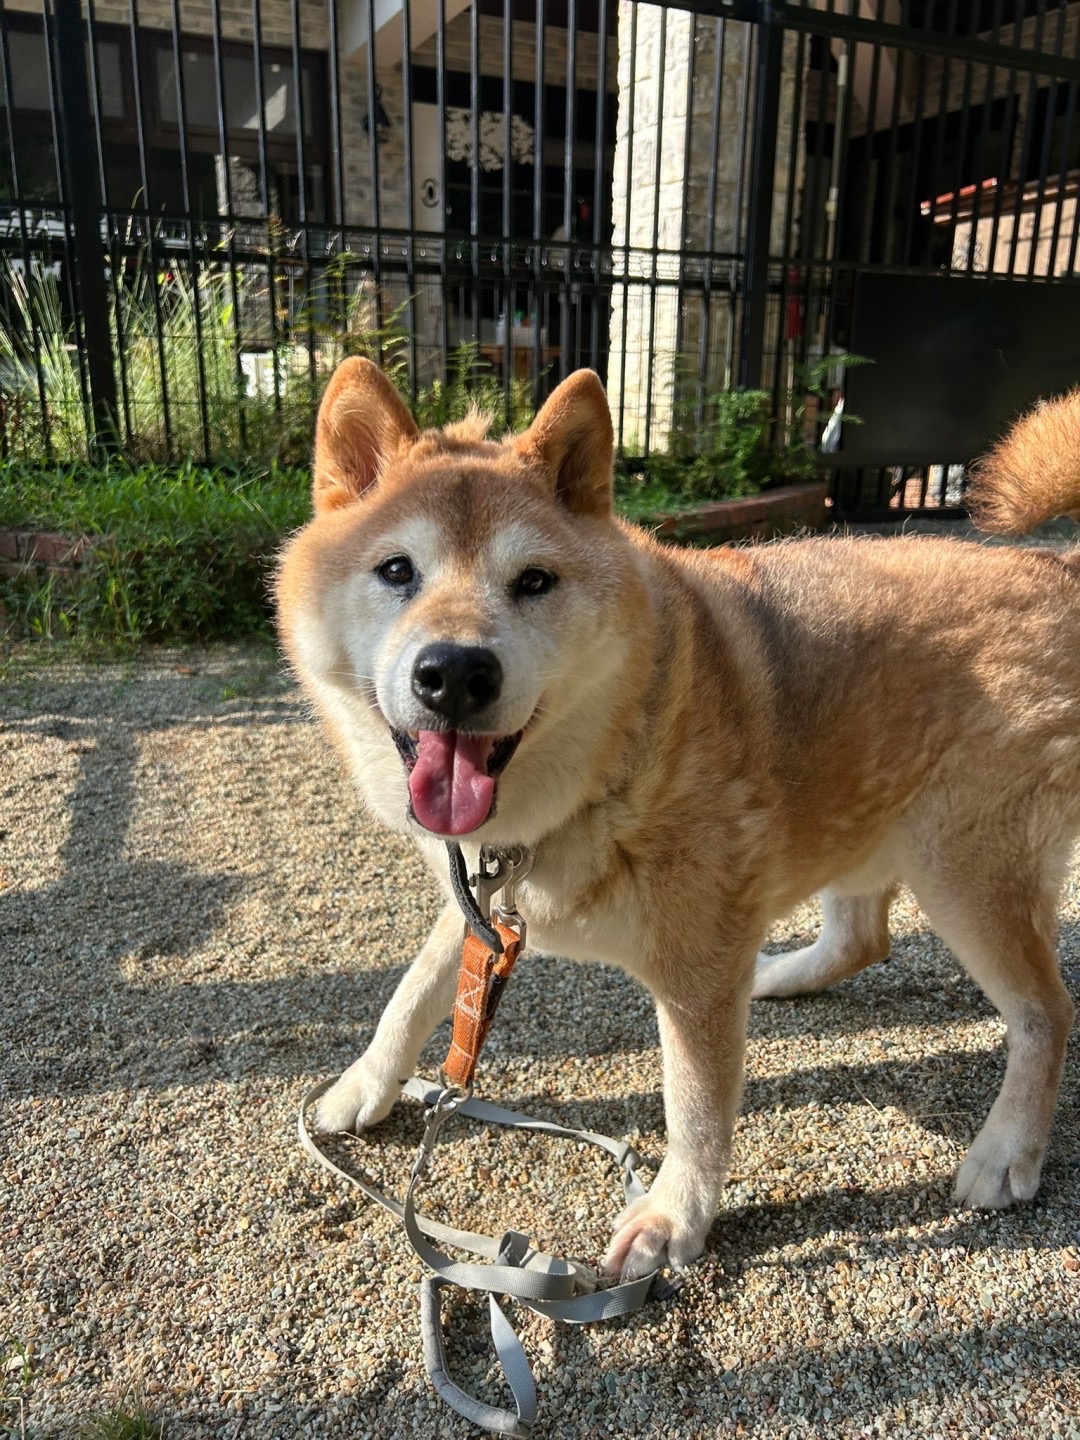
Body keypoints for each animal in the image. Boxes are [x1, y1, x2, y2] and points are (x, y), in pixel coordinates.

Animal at [276, 360, 1080, 1284]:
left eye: (534, 581)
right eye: (396, 570)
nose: (455, 673)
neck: (612, 757)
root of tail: (1056, 567)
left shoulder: (694, 970)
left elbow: (694, 1107)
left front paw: (673, 1219)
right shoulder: (482, 895)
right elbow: (413, 990)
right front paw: (363, 1083)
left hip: (963, 868)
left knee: (1045, 1013)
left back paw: (1008, 1150)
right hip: (860, 810)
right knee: (862, 937)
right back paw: (779, 974)